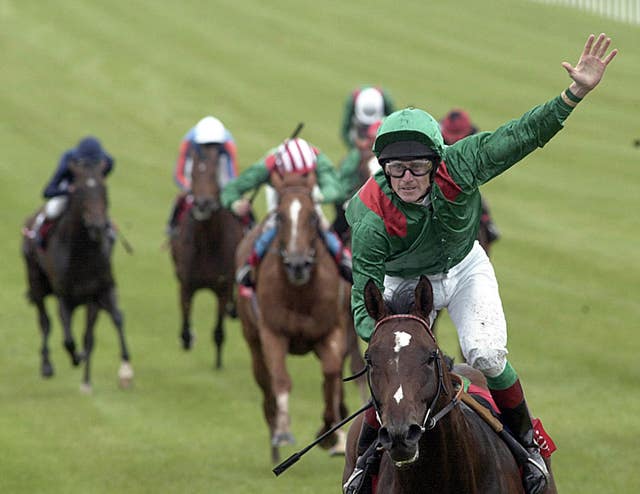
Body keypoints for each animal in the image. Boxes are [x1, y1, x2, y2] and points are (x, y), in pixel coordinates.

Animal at [21, 160, 132, 392]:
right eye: (80, 191)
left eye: (104, 189)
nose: (97, 225)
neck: (83, 254)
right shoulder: (65, 298)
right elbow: (69, 339)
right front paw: (76, 357)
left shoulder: (101, 291)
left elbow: (114, 321)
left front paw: (124, 370)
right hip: (36, 281)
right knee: (44, 321)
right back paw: (47, 366)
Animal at [170, 141, 245, 368]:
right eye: (193, 174)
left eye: (214, 174)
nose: (202, 204)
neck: (207, 243)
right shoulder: (186, 285)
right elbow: (185, 331)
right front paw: (188, 339)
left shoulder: (222, 287)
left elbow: (219, 332)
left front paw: (218, 363)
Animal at [236, 170, 350, 464]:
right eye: (280, 217)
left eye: (312, 217)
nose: (298, 264)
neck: (300, 293)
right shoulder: (272, 333)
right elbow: (280, 379)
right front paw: (283, 432)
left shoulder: (331, 331)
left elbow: (331, 374)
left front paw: (330, 432)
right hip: (252, 338)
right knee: (265, 384)